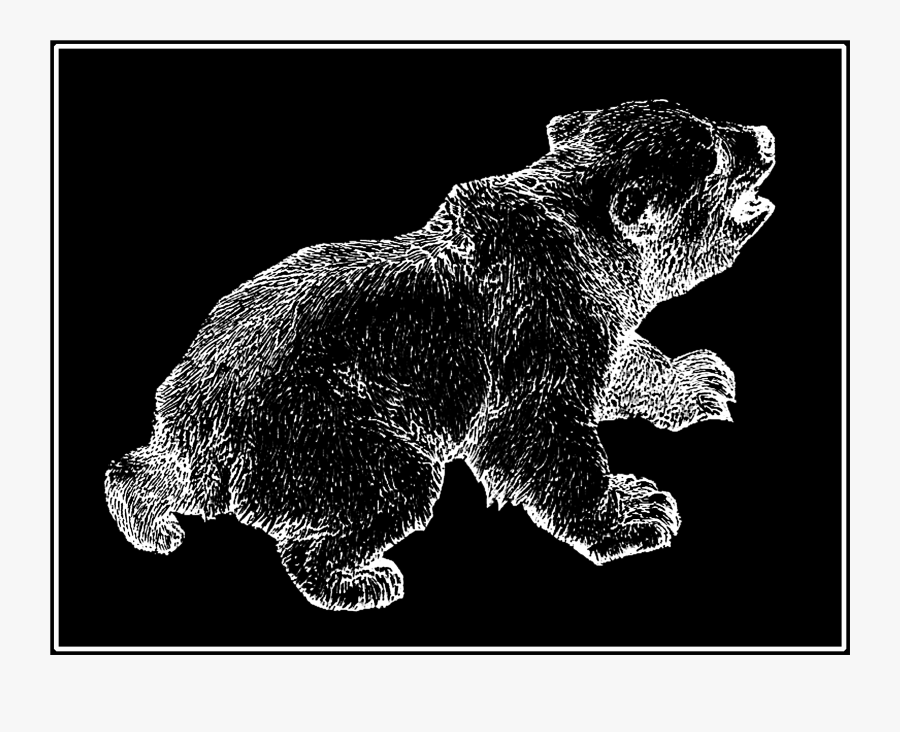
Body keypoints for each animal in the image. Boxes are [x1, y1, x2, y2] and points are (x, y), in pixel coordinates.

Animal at [105, 100, 775, 611]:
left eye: (710, 123)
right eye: (714, 154)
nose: (764, 136)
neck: (585, 244)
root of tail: (190, 421)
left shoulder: (587, 318)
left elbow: (614, 367)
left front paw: (699, 380)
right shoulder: (528, 318)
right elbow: (534, 428)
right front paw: (634, 513)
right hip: (325, 424)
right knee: (383, 488)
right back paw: (359, 578)